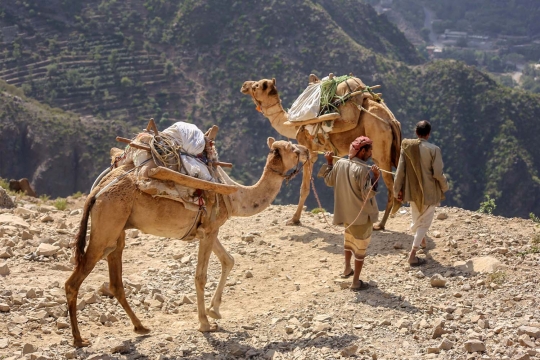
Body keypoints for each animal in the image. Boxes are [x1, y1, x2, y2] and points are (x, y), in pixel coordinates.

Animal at [64, 137, 308, 346]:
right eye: (294, 151)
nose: (306, 150)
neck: (234, 196)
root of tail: (96, 192)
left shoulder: (208, 230)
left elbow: (229, 260)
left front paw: (214, 310)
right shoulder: (209, 230)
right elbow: (201, 277)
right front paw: (205, 323)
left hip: (118, 230)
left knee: (115, 281)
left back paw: (141, 327)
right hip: (107, 223)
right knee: (74, 281)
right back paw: (79, 339)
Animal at [240, 78, 400, 231]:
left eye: (256, 86)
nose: (244, 85)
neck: (292, 124)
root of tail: (390, 119)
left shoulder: (309, 152)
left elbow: (304, 188)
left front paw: (294, 220)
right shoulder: (335, 153)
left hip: (380, 148)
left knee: (391, 185)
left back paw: (380, 224)